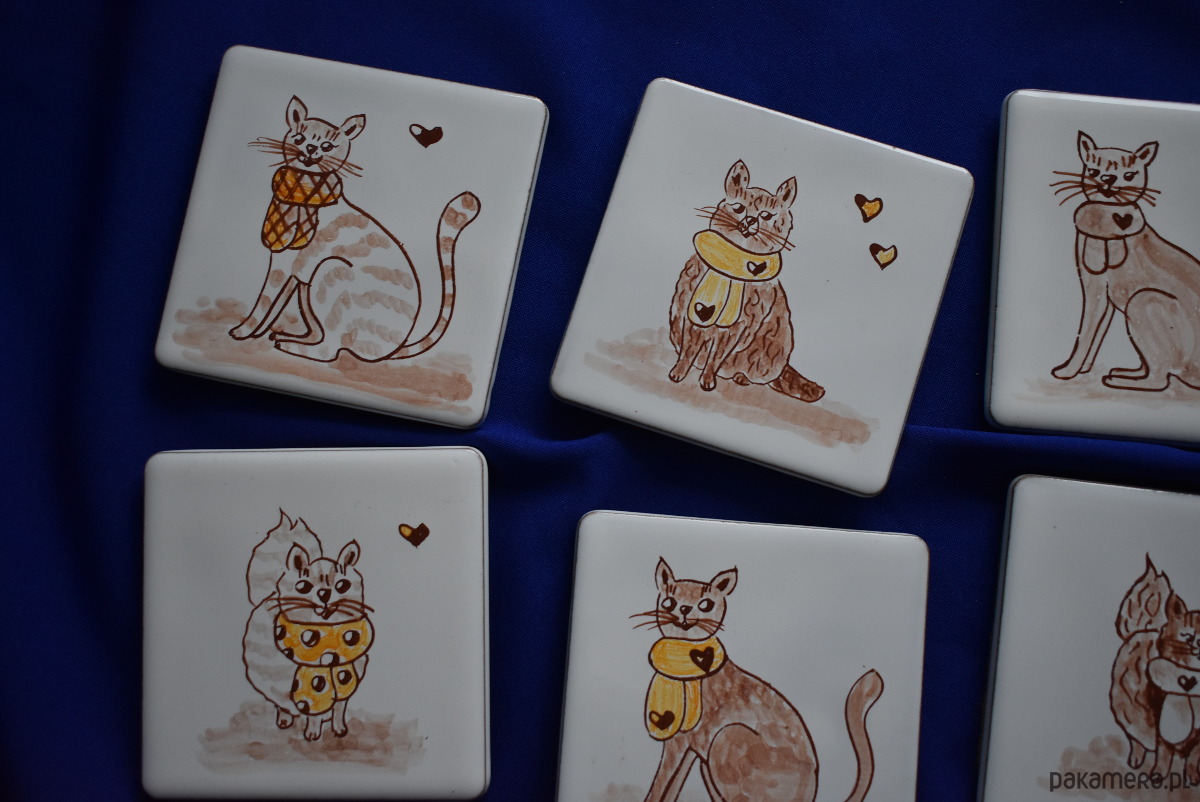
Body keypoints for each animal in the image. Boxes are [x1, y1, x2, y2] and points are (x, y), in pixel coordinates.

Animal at [229, 96, 481, 363]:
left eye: (327, 146)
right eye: (299, 139)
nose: (311, 149)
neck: (303, 191)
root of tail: (394, 349)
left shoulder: (284, 265)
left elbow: (264, 301)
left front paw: (242, 331)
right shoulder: (294, 270)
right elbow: (275, 303)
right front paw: (255, 333)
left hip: (329, 272)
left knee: (329, 349)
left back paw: (294, 348)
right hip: (308, 288)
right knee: (320, 334)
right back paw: (292, 339)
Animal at [242, 510, 374, 742]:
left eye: (342, 585)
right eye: (303, 586)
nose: (324, 594)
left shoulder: (347, 678)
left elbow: (339, 708)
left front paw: (338, 728)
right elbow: (313, 709)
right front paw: (312, 732)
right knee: (281, 702)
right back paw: (285, 719)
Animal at [632, 558, 882, 802]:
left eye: (705, 605)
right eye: (669, 602)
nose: (683, 608)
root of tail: (811, 793)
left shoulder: (680, 743)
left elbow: (660, 786)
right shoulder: (687, 746)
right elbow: (670, 787)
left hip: (726, 740)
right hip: (709, 765)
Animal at [668, 160, 825, 402]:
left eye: (766, 215)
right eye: (739, 208)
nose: (750, 220)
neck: (732, 263)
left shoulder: (737, 326)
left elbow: (716, 356)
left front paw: (707, 379)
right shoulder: (693, 313)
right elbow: (689, 349)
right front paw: (680, 371)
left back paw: (741, 377)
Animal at [1049, 131, 1200, 391]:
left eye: (1129, 175)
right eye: (1093, 171)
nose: (1108, 179)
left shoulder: (1095, 288)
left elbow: (1085, 332)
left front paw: (1067, 371)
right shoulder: (1103, 293)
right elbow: (1097, 332)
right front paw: (1084, 368)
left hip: (1143, 301)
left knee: (1159, 378)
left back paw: (1119, 380)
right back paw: (1127, 372)